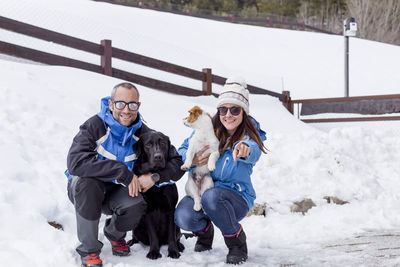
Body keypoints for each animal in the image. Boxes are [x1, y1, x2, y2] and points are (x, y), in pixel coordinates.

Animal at [130, 131, 185, 260]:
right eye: (148, 145)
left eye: (163, 143)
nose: (158, 157)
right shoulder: (148, 210)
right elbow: (153, 234)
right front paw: (154, 252)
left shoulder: (171, 209)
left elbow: (171, 235)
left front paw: (173, 251)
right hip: (136, 225)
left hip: (178, 226)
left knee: (177, 235)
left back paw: (180, 246)